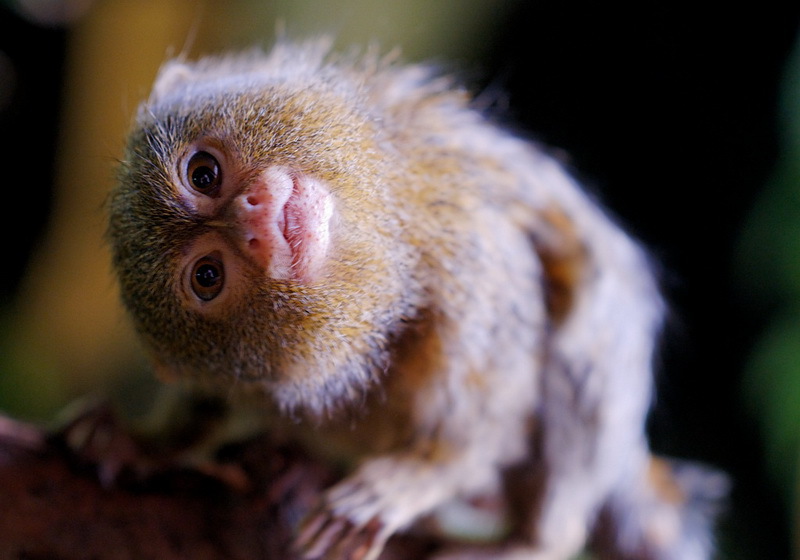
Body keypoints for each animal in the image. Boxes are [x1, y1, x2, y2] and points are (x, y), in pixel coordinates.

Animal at [107, 39, 726, 560]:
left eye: (202, 172)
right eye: (208, 276)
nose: (252, 217)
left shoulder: (473, 257)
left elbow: (489, 417)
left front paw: (409, 480)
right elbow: (207, 404)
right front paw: (145, 443)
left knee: (585, 352)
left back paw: (530, 544)